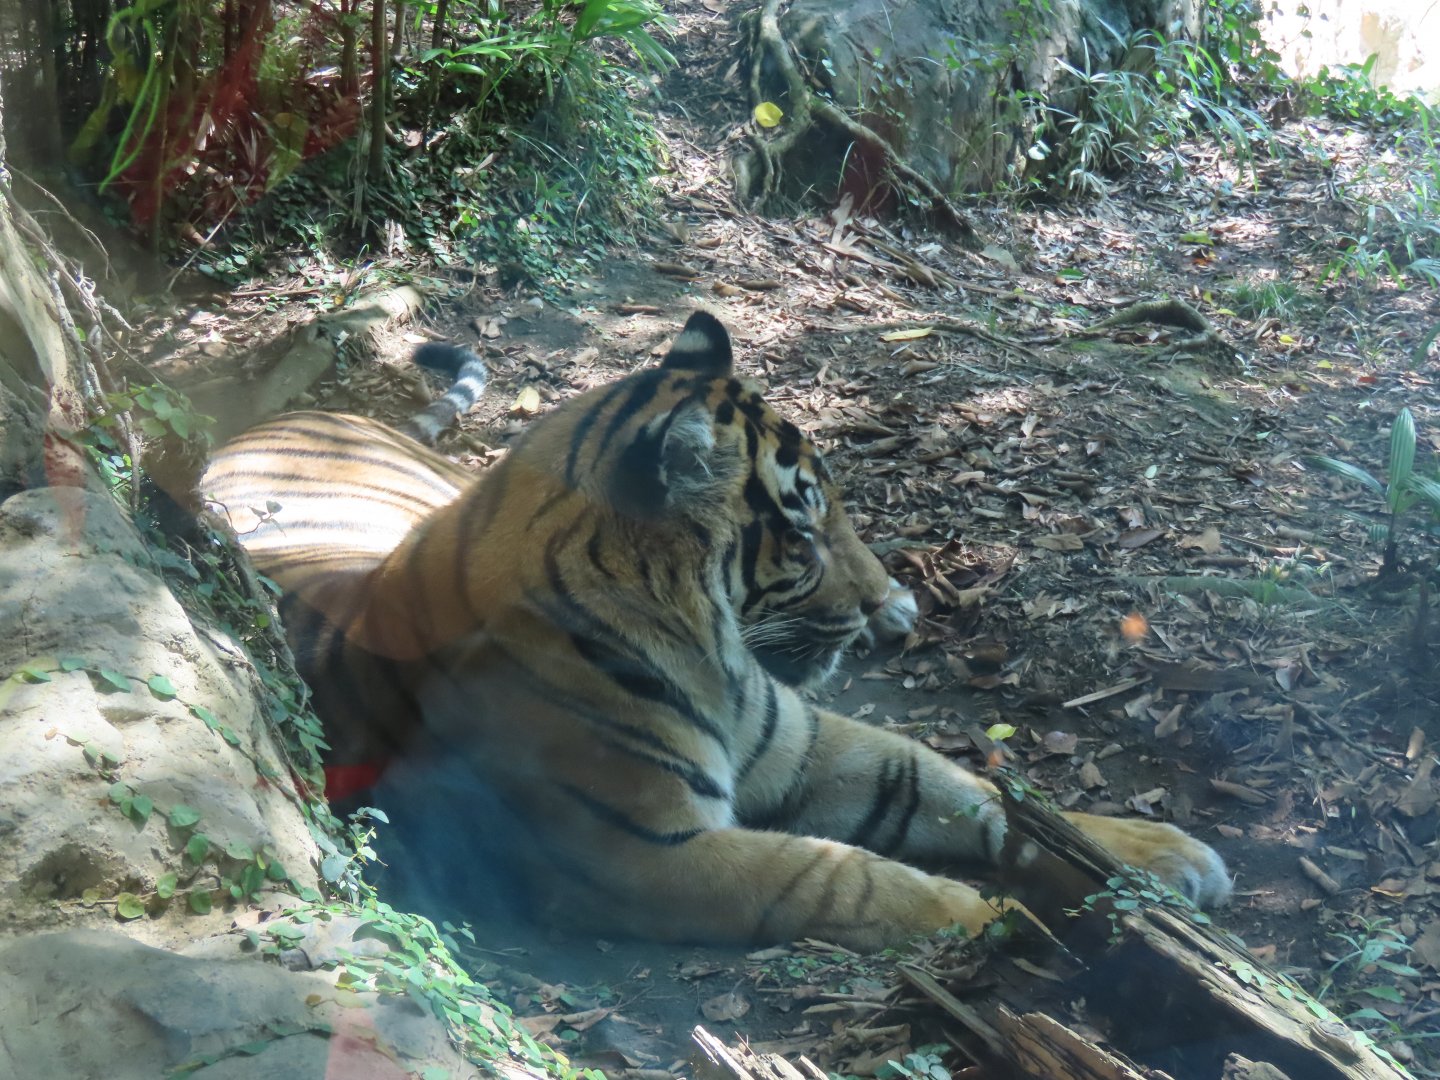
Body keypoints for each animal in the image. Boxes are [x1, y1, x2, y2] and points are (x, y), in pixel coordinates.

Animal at [206, 312, 1230, 950]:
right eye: (804, 533)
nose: (867, 602)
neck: (712, 650)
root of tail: (292, 415)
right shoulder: (644, 851)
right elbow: (833, 875)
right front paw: (979, 917)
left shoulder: (806, 741)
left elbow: (957, 784)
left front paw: (1157, 856)